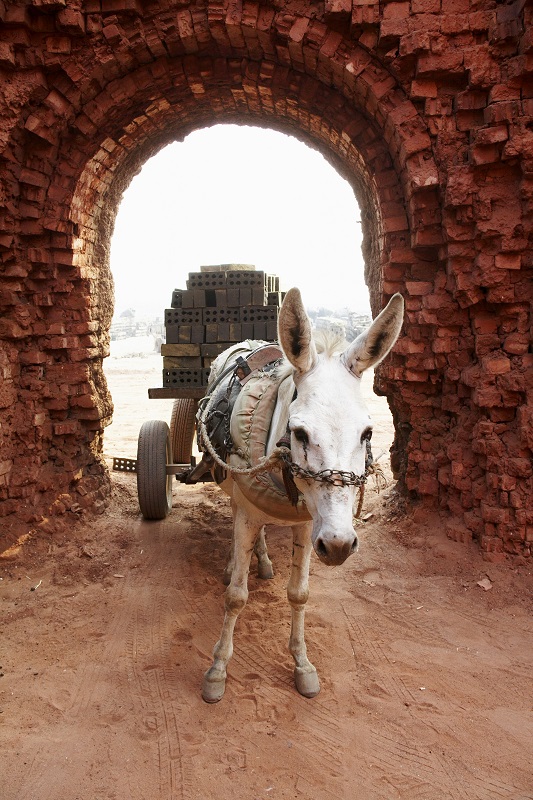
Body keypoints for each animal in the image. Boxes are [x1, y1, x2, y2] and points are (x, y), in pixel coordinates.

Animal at [198, 288, 404, 703]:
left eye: (368, 433)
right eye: (299, 432)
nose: (339, 545)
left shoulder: (310, 526)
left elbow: (299, 594)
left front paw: (302, 665)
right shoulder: (250, 513)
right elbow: (236, 597)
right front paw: (217, 671)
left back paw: (262, 561)